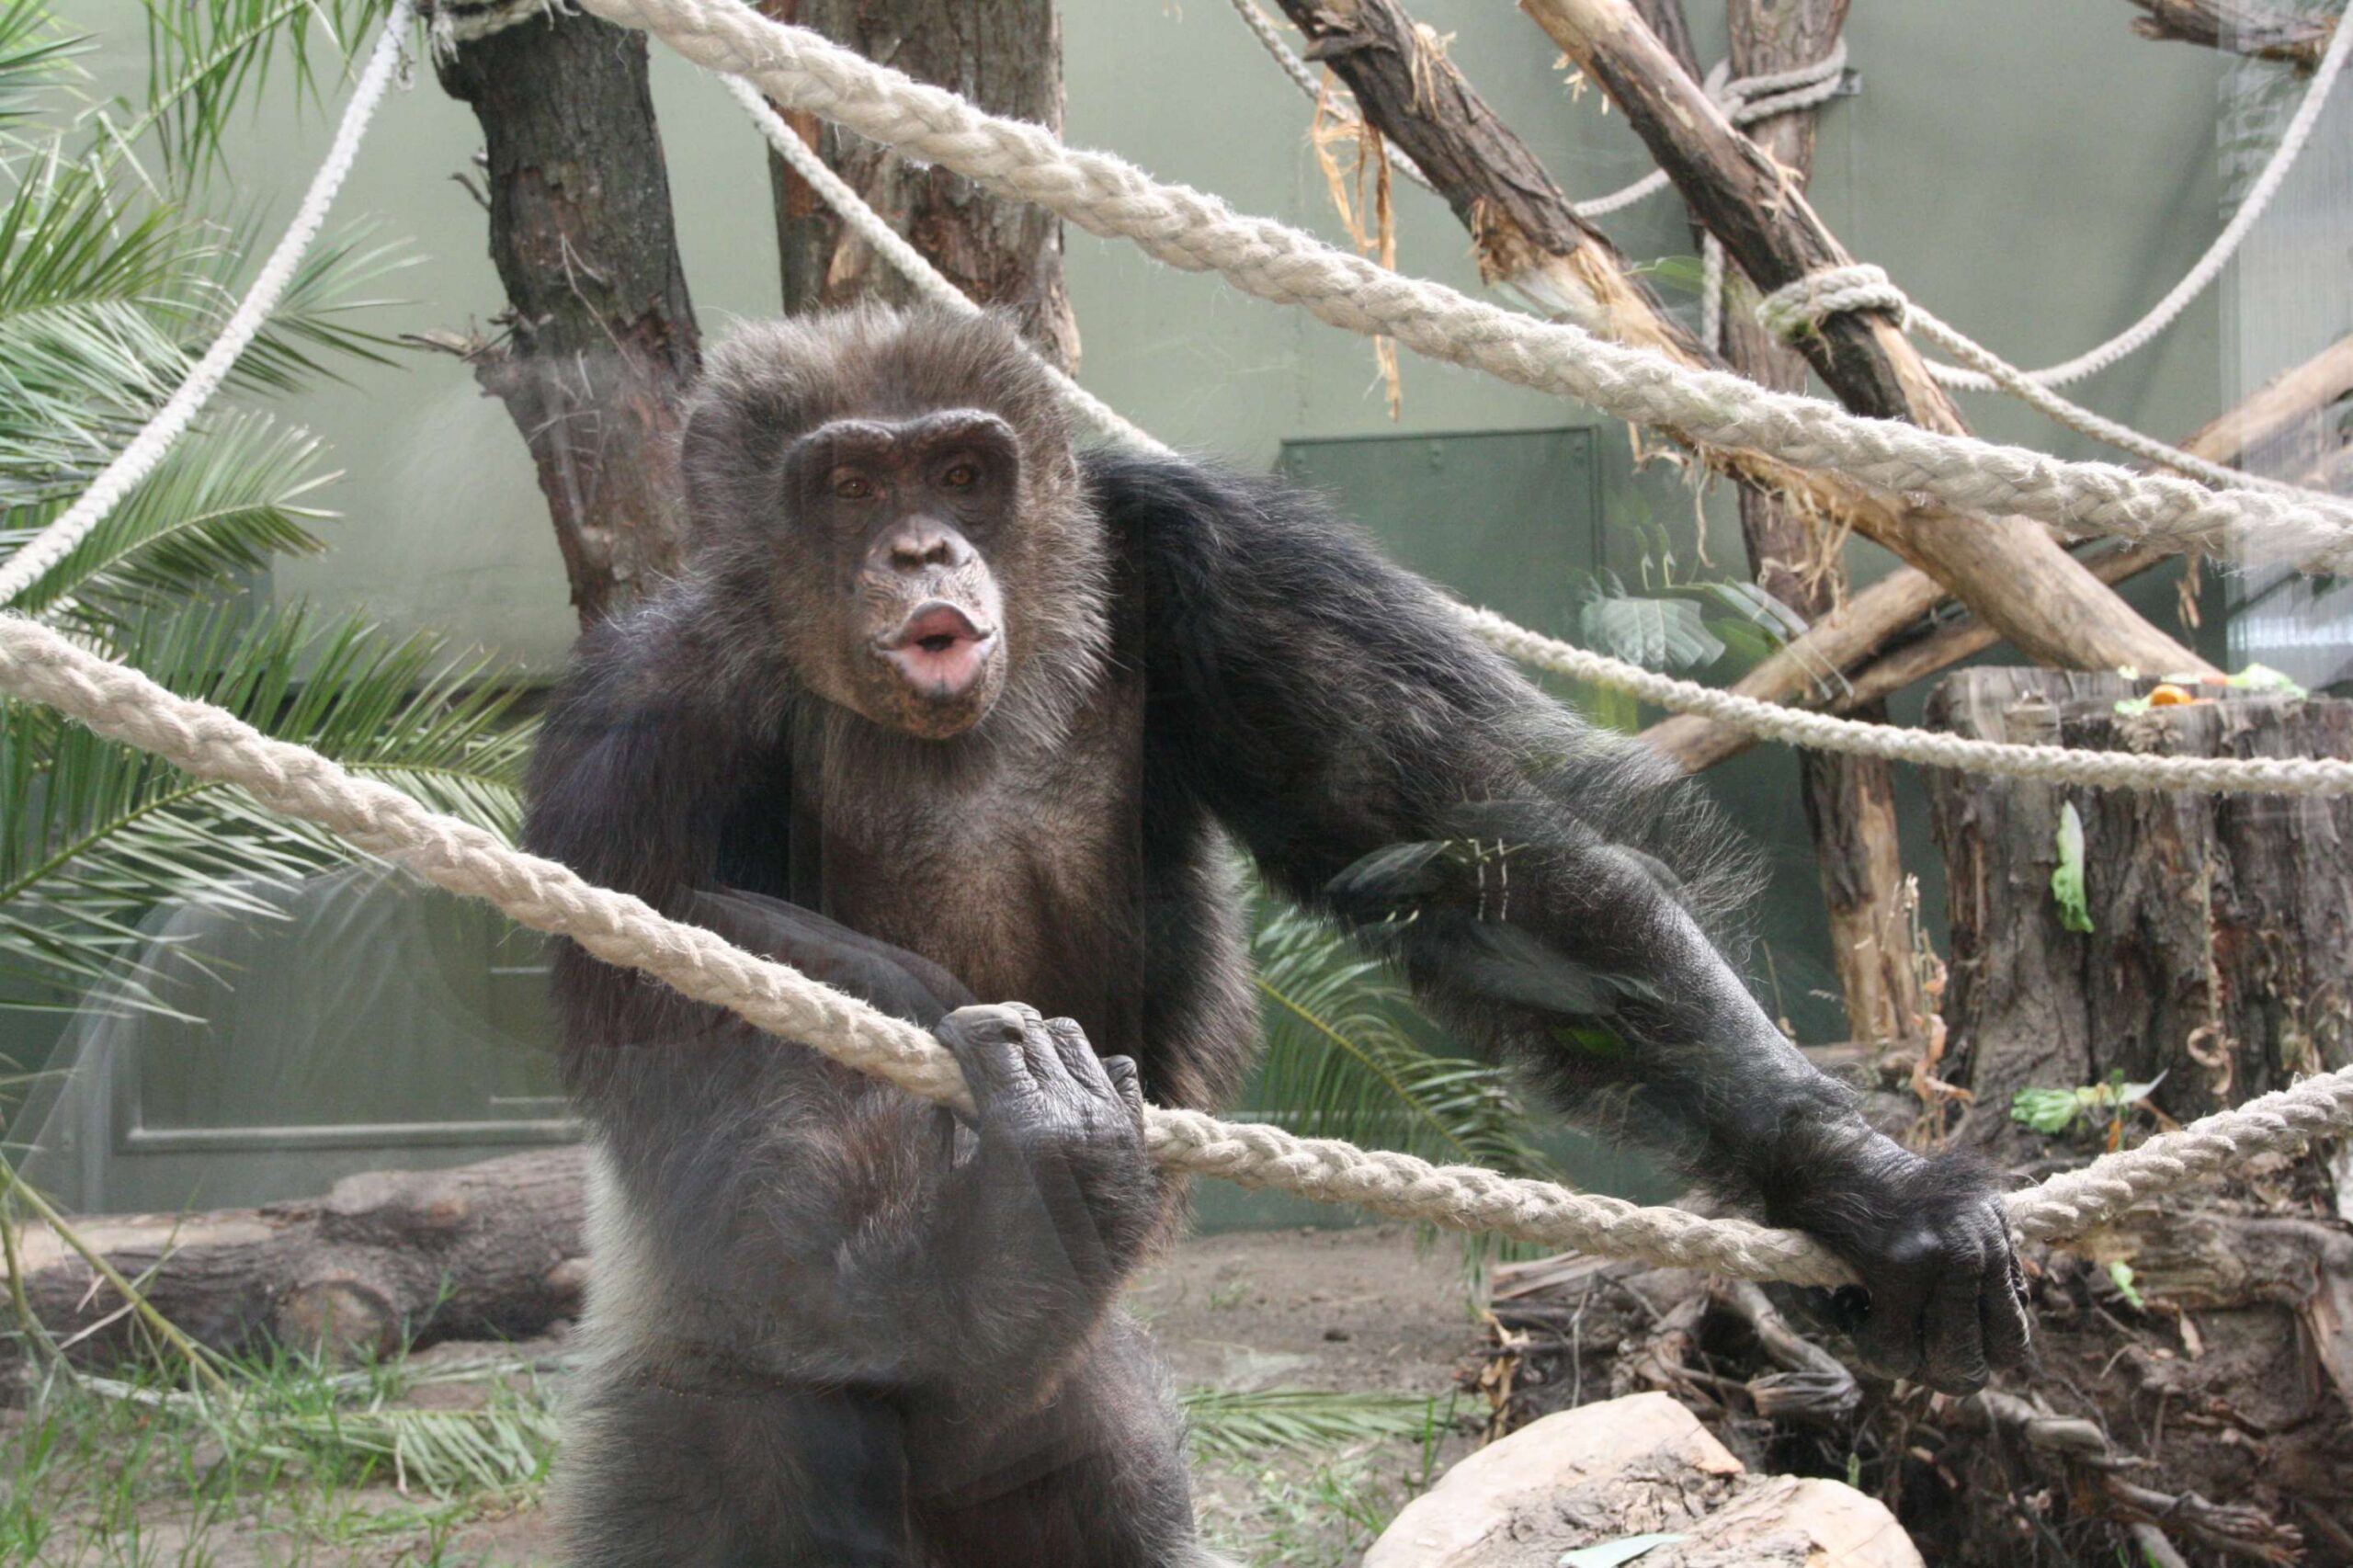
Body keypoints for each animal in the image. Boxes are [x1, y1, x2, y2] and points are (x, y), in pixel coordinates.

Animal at [523, 304, 2030, 1567]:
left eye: (957, 472)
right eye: (846, 485)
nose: (920, 551)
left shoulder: (1225, 563)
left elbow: (1475, 861)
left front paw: (1866, 1184)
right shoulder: (635, 730)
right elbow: (663, 998)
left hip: (1082, 1436)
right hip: (709, 1417)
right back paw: (994, 1227)